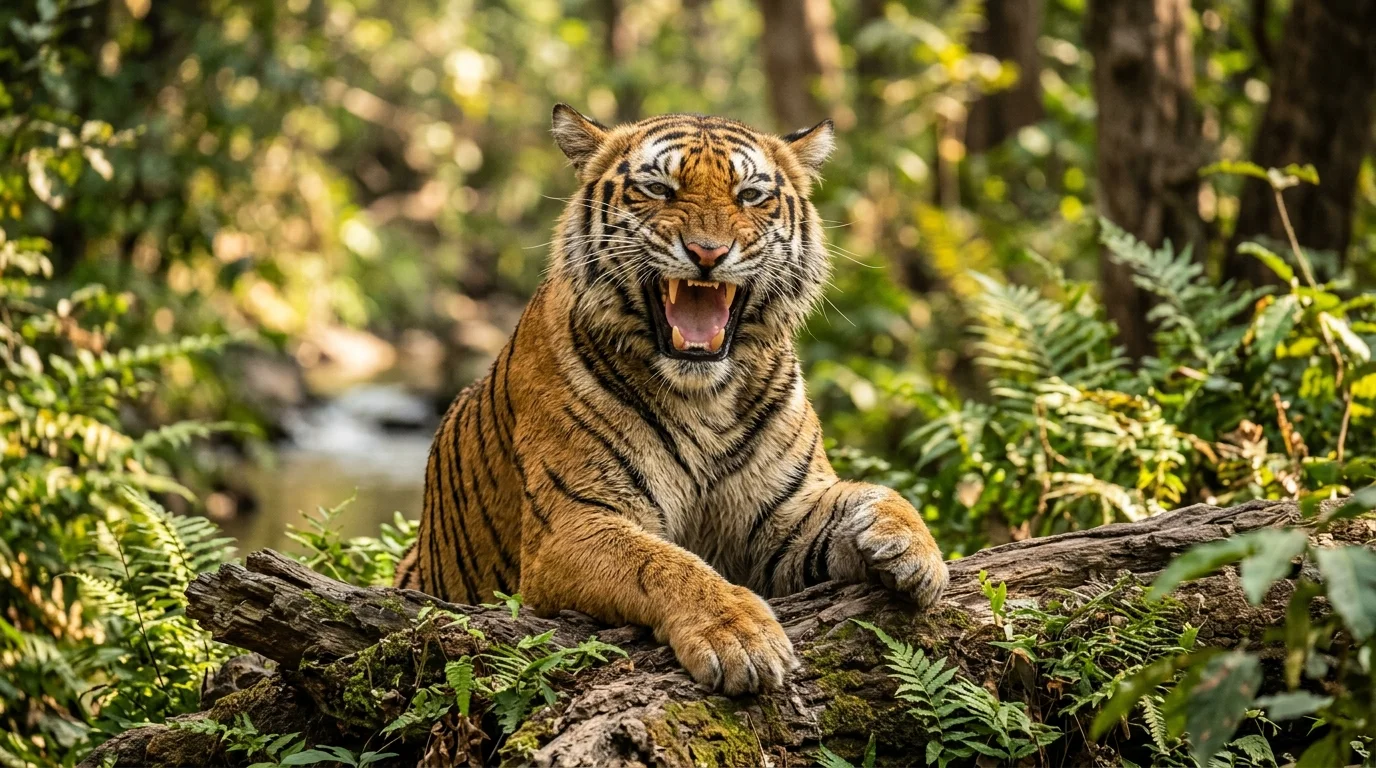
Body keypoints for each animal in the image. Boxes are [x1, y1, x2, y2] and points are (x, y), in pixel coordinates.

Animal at [394, 104, 948, 695]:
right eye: (659, 189)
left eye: (750, 195)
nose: (708, 253)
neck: (705, 396)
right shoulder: (573, 524)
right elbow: (663, 564)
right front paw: (740, 637)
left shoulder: (782, 515)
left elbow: (878, 492)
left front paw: (914, 551)